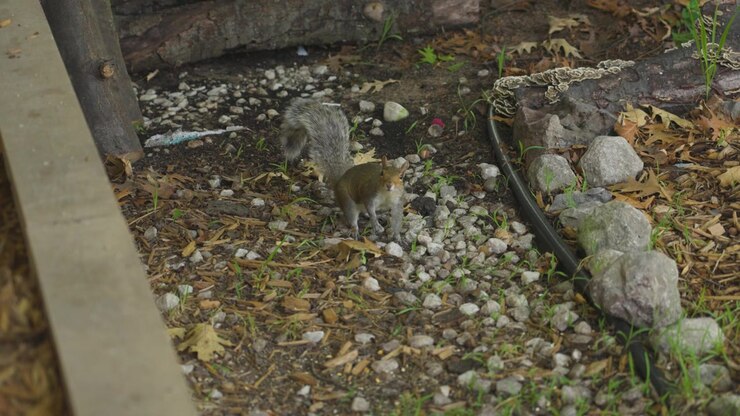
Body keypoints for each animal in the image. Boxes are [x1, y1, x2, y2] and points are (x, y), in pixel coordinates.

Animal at [279, 98, 408, 241]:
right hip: (347, 200)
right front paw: (376, 225)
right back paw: (355, 230)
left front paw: (397, 236)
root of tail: (341, 178)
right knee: (353, 216)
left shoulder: (398, 202)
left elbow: (397, 219)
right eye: (382, 173)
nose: (389, 185)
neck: (387, 194)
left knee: (364, 212)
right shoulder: (369, 193)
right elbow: (370, 209)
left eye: (401, 177)